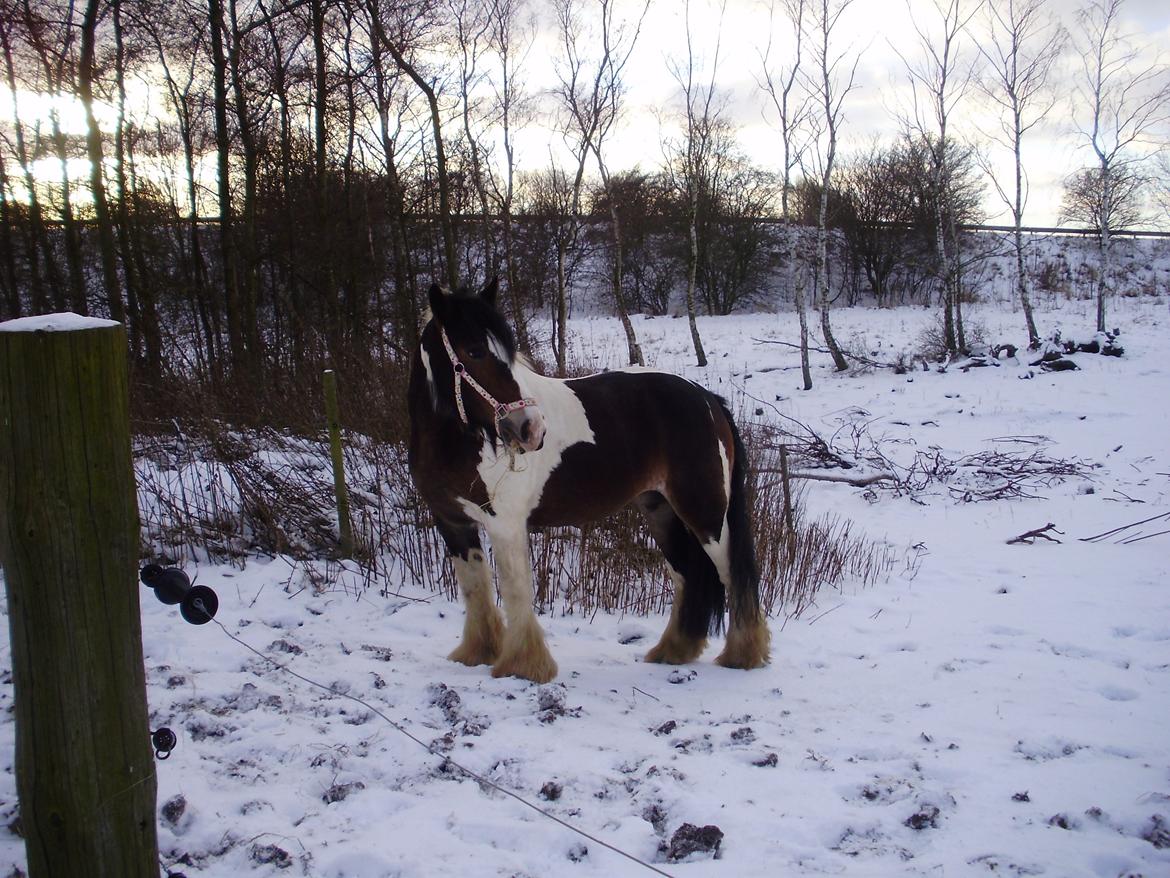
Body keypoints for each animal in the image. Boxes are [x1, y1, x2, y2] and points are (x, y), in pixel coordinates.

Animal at [407, 278, 772, 683]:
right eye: (474, 351)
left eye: (507, 354)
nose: (532, 429)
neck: (462, 441)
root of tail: (706, 397)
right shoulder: (452, 523)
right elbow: (475, 588)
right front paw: (478, 653)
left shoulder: (506, 525)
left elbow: (516, 591)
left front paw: (524, 665)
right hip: (661, 511)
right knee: (686, 576)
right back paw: (672, 651)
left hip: (707, 516)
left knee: (733, 576)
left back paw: (743, 656)